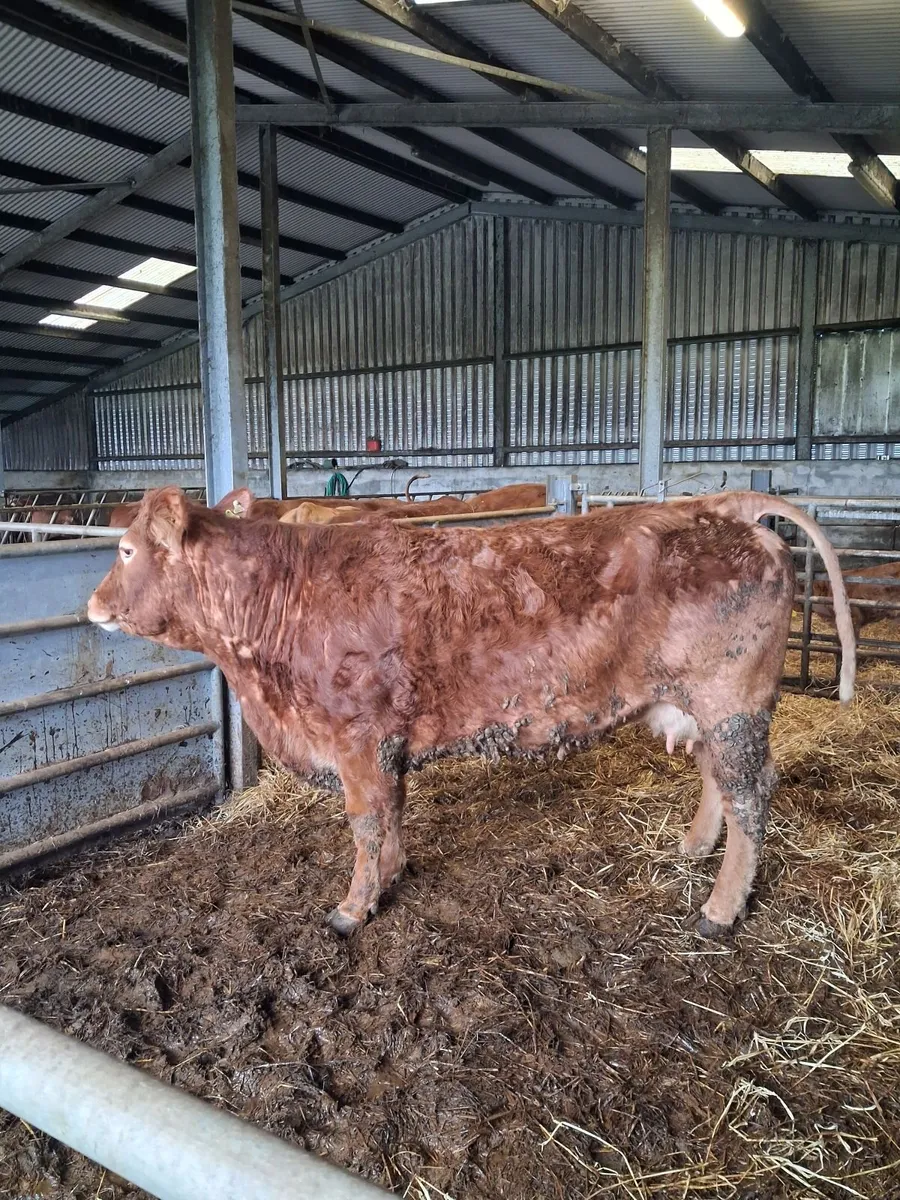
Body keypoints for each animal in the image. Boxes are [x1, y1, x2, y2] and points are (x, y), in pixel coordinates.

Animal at [88, 488, 855, 940]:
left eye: (124, 549)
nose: (92, 604)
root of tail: (723, 507)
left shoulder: (358, 738)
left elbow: (366, 823)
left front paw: (353, 908)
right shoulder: (386, 741)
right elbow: (392, 813)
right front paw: (393, 875)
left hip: (732, 703)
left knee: (751, 794)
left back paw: (720, 911)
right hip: (698, 705)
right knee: (718, 780)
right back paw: (694, 849)